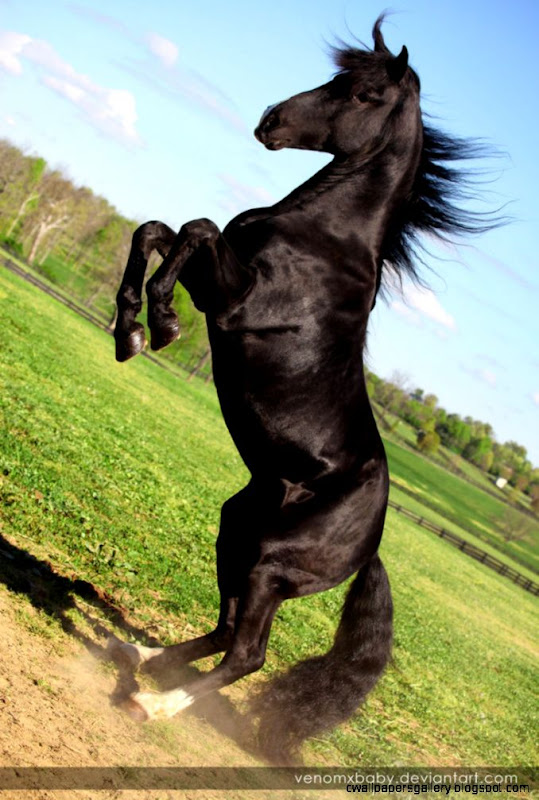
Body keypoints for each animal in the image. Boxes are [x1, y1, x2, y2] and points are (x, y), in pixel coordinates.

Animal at [109, 16, 497, 762]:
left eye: (364, 93)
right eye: (334, 77)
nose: (271, 121)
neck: (325, 238)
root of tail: (371, 546)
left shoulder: (232, 299)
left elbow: (194, 230)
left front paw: (159, 325)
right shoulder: (214, 275)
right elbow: (157, 229)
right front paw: (129, 329)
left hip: (269, 563)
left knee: (248, 654)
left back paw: (155, 702)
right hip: (237, 531)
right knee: (226, 630)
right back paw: (140, 656)